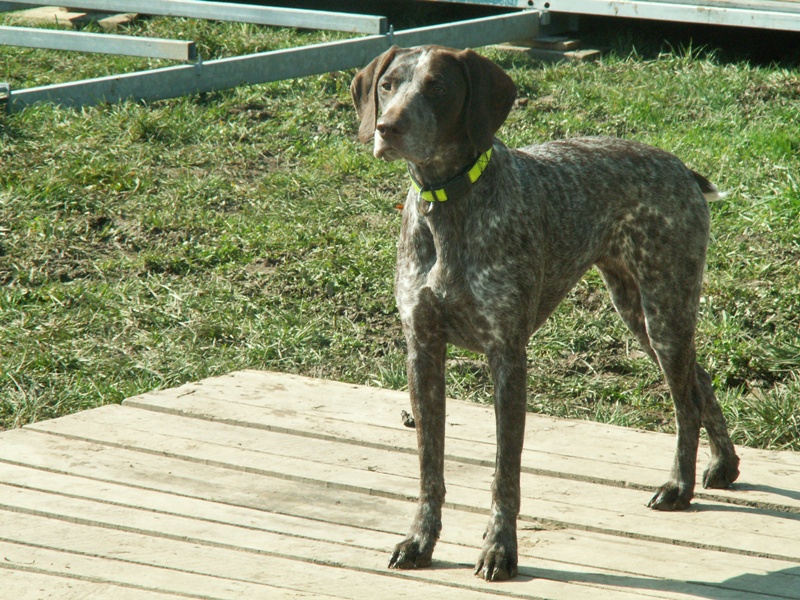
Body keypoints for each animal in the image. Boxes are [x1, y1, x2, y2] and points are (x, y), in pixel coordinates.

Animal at [350, 45, 740, 581]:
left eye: (438, 87)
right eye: (388, 85)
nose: (387, 127)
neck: (449, 206)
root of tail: (679, 167)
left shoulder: (508, 357)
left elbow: (504, 475)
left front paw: (500, 549)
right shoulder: (422, 352)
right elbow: (431, 468)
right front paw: (420, 540)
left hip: (664, 311)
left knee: (686, 402)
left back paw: (679, 486)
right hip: (639, 312)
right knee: (699, 381)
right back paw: (725, 465)